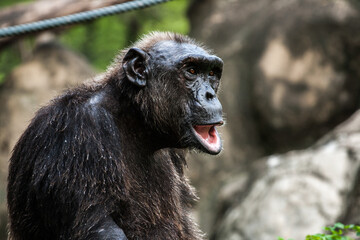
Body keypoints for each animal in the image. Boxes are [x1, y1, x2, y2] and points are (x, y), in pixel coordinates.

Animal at [7, 31, 224, 240]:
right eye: (192, 71)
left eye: (212, 73)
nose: (210, 95)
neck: (135, 118)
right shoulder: (77, 132)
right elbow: (98, 226)